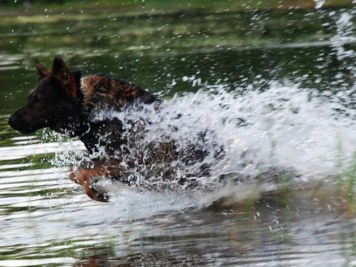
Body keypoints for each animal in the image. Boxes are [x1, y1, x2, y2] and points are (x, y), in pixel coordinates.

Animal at [8, 57, 221, 203]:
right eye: (29, 97)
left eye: (38, 100)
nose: (9, 120)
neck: (93, 112)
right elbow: (74, 171)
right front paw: (94, 190)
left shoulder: (131, 161)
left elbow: (80, 171)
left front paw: (95, 191)